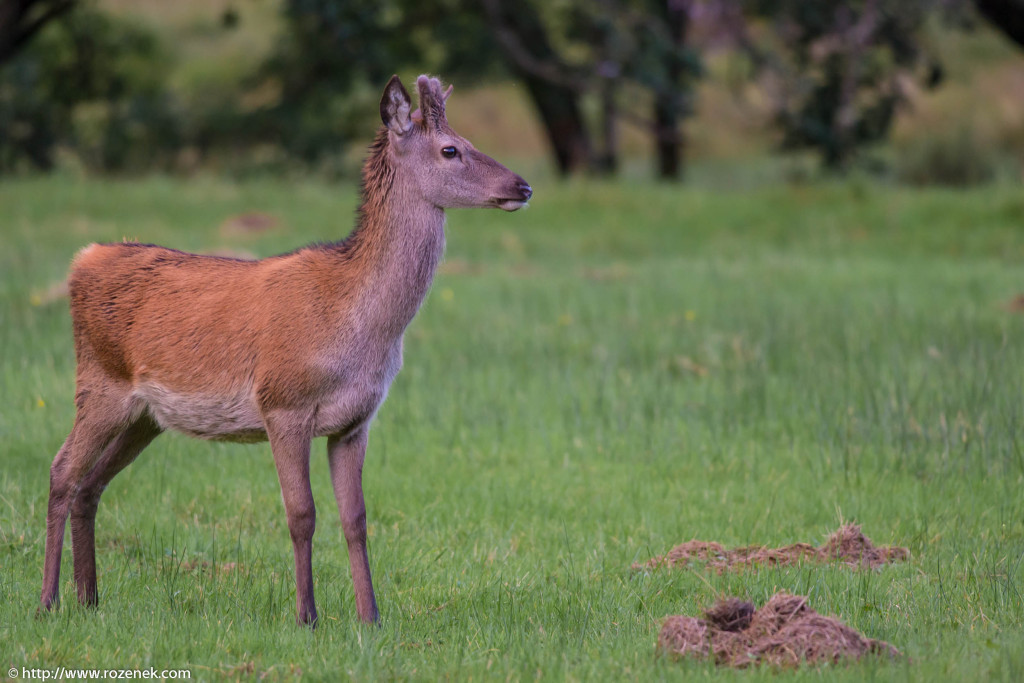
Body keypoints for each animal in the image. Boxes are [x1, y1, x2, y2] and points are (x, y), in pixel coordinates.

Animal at [38, 73, 532, 626]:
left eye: (467, 140)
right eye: (451, 149)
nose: (523, 186)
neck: (357, 325)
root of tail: (83, 260)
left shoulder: (356, 420)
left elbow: (356, 518)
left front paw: (370, 617)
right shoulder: (283, 403)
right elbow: (301, 513)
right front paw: (307, 617)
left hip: (145, 415)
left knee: (90, 484)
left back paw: (90, 598)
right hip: (99, 383)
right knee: (61, 472)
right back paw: (48, 600)